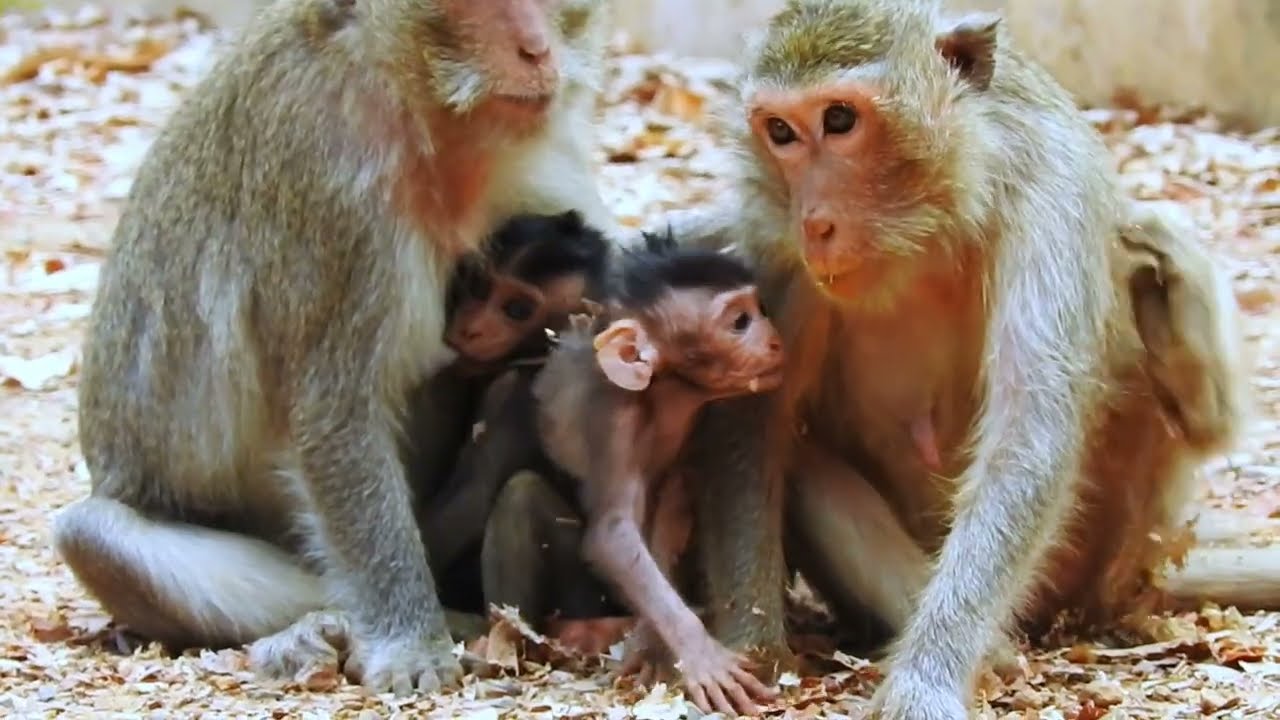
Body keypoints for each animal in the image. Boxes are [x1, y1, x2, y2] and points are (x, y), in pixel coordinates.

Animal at [50, 0, 618, 696]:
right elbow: (334, 413)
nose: (538, 50)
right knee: (91, 535)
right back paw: (337, 628)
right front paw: (411, 643)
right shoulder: (327, 187)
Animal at [531, 233, 786, 716]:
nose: (777, 342)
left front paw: (651, 645)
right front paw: (698, 649)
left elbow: (671, 503)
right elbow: (613, 534)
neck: (665, 394)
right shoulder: (614, 422)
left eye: (760, 309)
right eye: (740, 321)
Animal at [654, 1, 1249, 718]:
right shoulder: (772, 232)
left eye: (840, 119)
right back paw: (990, 652)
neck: (928, 227)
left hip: (1110, 553)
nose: (816, 222)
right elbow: (754, 418)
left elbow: (1027, 432)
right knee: (803, 466)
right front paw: (752, 642)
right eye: (780, 132)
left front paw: (926, 677)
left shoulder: (1050, 197)